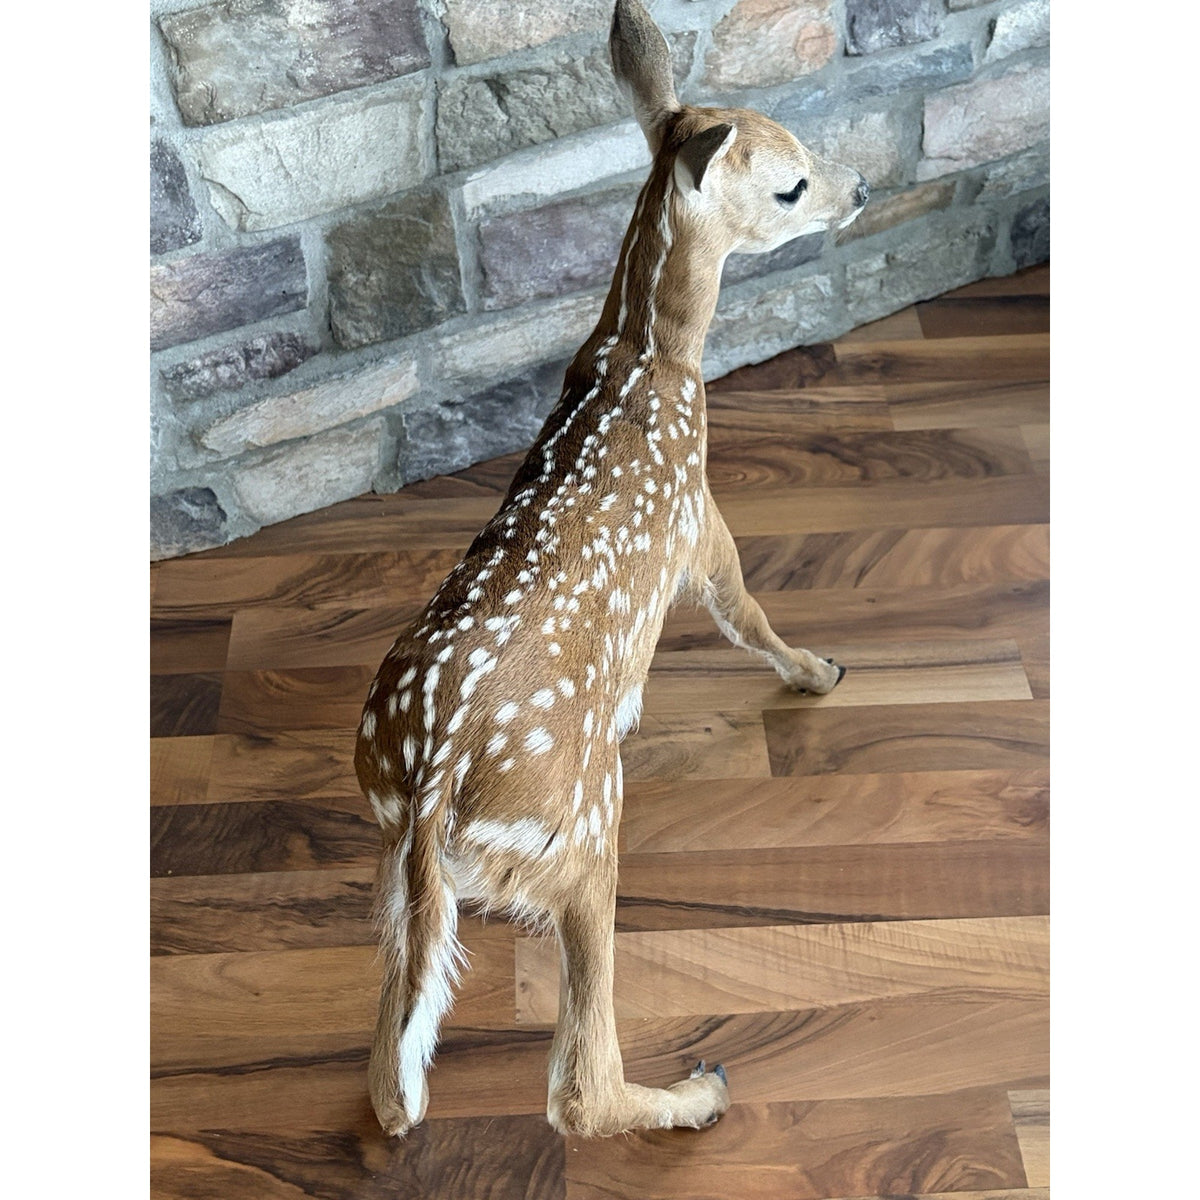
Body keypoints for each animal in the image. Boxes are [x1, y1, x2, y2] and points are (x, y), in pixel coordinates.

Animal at [355, 0, 868, 1140]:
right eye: (790, 182)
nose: (860, 188)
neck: (651, 355)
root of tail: (430, 789)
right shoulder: (697, 517)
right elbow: (745, 608)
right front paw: (819, 670)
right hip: (587, 829)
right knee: (576, 1085)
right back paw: (698, 1093)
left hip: (396, 865)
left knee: (389, 1077)